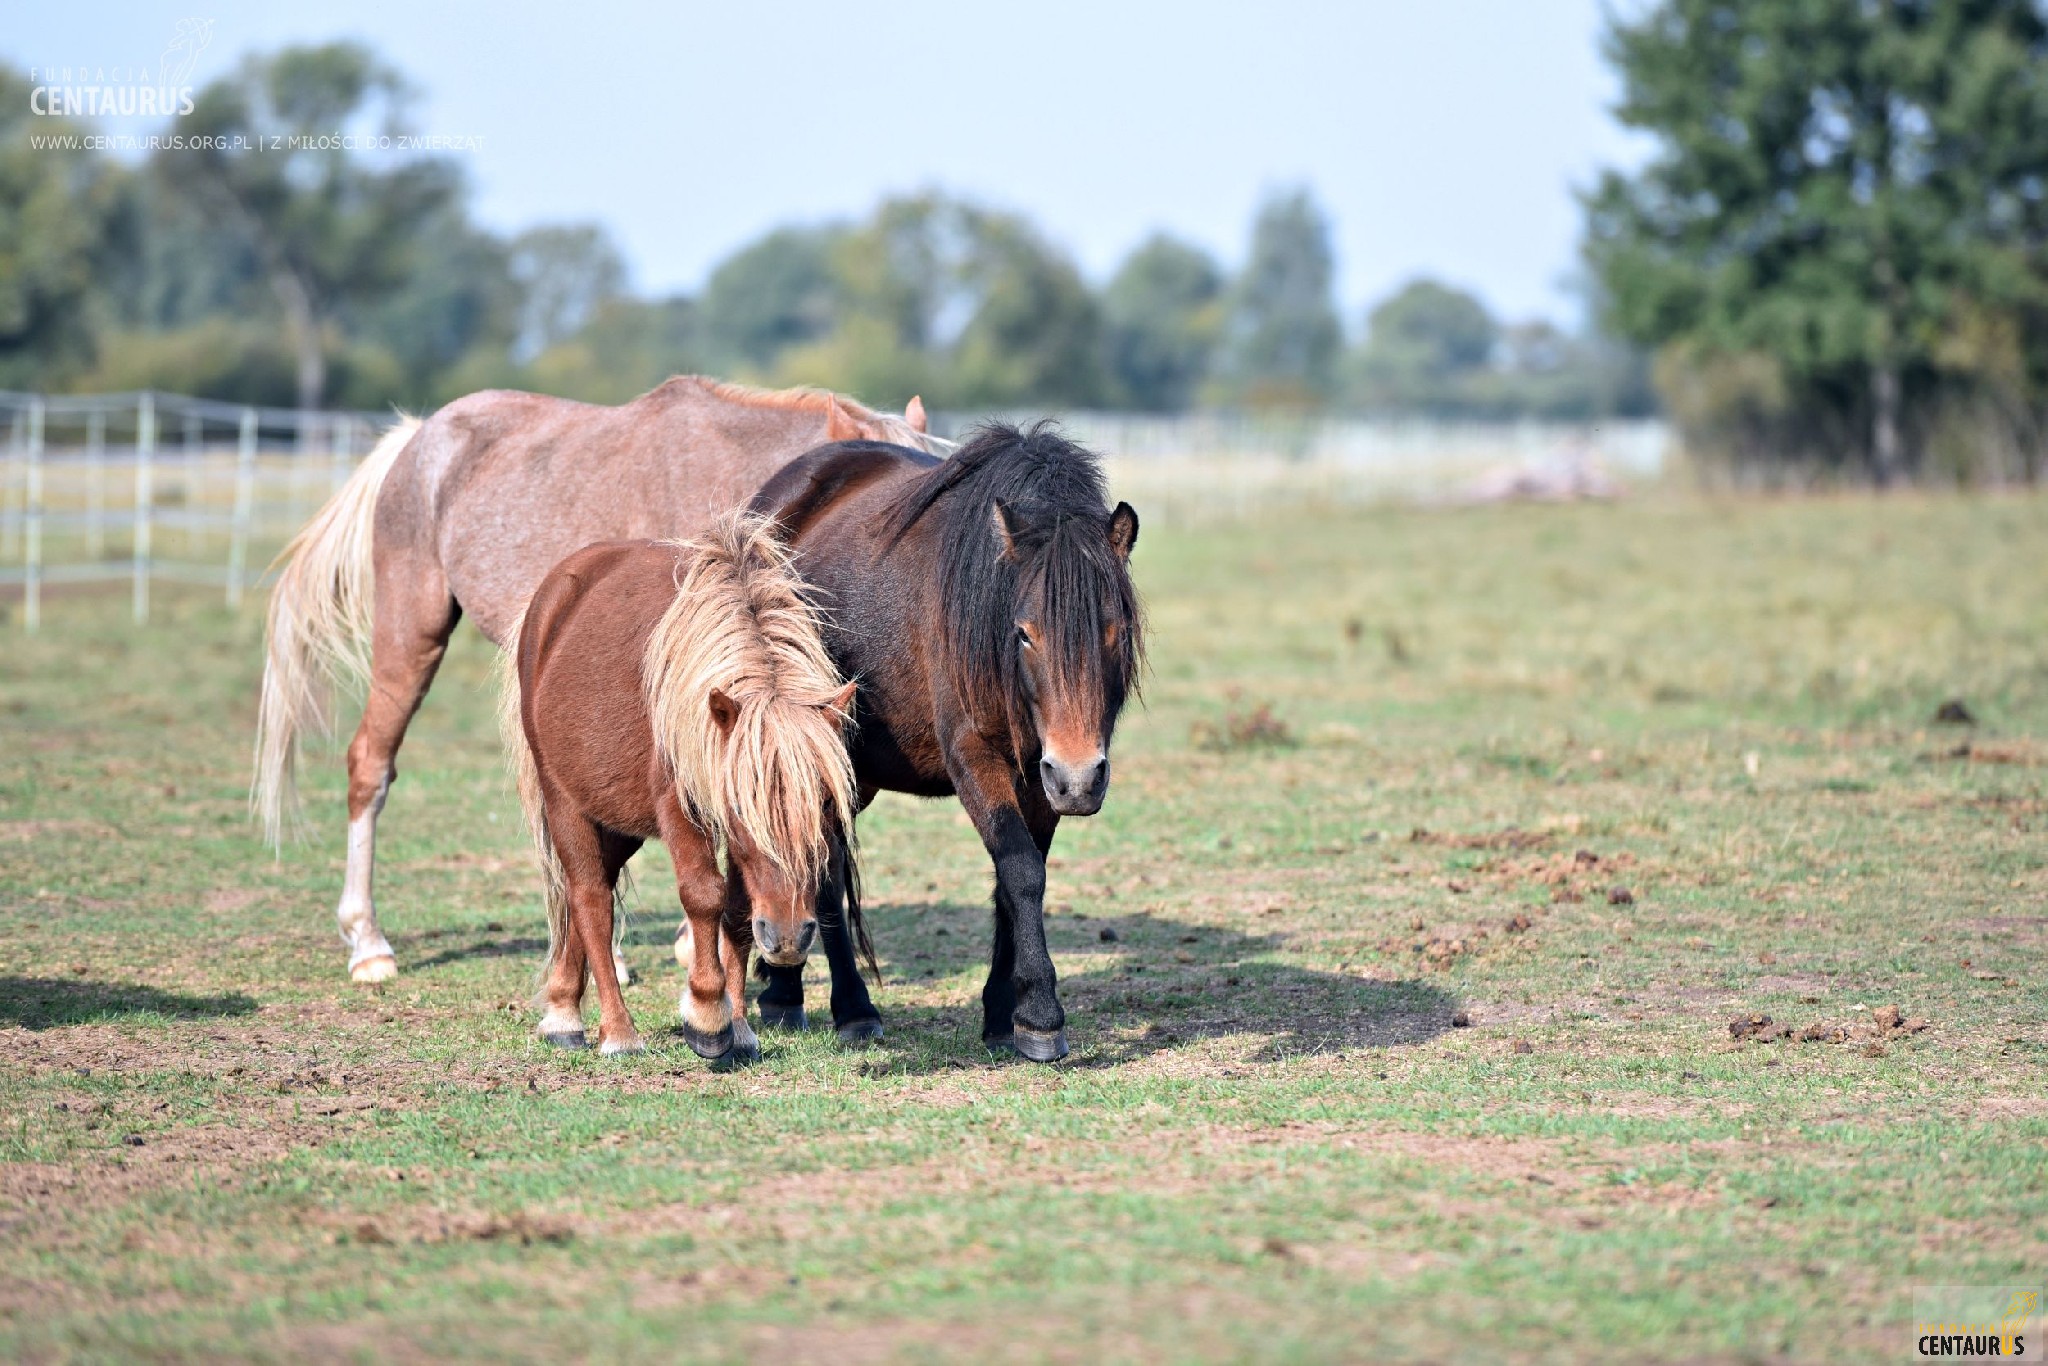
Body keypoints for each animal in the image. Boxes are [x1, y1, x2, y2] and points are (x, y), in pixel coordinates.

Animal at [499, 511, 860, 1056]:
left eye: (823, 806)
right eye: (741, 808)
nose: (788, 939)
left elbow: (737, 912)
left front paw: (740, 1029)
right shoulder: (684, 809)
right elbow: (704, 896)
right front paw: (707, 1018)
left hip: (617, 818)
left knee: (590, 891)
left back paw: (563, 1008)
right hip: (565, 800)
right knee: (589, 897)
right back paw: (614, 1031)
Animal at [745, 421, 1146, 1064]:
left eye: (1116, 630)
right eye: (1024, 633)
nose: (1081, 778)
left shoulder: (1038, 777)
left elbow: (1017, 878)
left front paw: (1004, 1014)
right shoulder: (975, 758)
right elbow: (1020, 870)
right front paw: (1040, 1018)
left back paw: (784, 990)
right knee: (823, 871)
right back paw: (849, 1008)